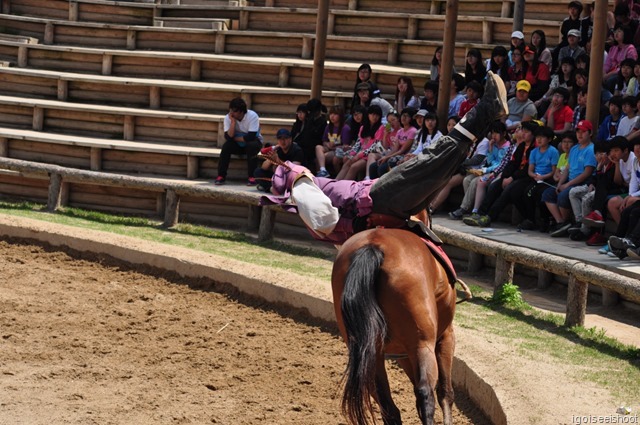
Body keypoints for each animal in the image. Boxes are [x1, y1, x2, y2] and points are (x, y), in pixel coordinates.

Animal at [330, 229, 460, 424]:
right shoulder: (446, 336)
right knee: (426, 393)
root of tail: (374, 245)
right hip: (423, 344)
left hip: (372, 354)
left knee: (387, 405)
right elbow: (445, 393)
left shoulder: (403, 354)